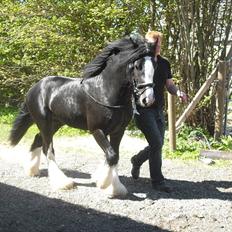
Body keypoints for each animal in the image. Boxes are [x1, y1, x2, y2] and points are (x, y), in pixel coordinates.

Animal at [10, 35, 157, 197]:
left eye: (155, 65)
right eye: (138, 66)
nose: (148, 99)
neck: (105, 91)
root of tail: (34, 88)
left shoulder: (118, 130)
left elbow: (114, 156)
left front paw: (111, 185)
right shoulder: (96, 130)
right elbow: (112, 155)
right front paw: (107, 186)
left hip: (56, 123)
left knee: (37, 140)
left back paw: (32, 170)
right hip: (44, 123)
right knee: (47, 149)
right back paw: (62, 183)